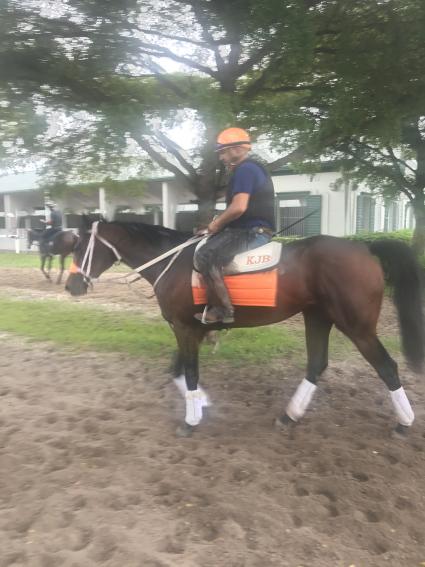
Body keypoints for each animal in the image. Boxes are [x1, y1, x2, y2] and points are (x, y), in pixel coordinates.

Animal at [63, 220, 424, 438]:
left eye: (80, 248)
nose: (71, 286)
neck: (171, 262)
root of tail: (364, 247)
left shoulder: (184, 328)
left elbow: (189, 372)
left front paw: (191, 420)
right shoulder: (190, 329)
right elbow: (177, 370)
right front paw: (201, 404)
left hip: (357, 326)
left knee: (387, 368)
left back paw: (404, 423)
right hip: (318, 317)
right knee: (316, 365)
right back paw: (290, 415)